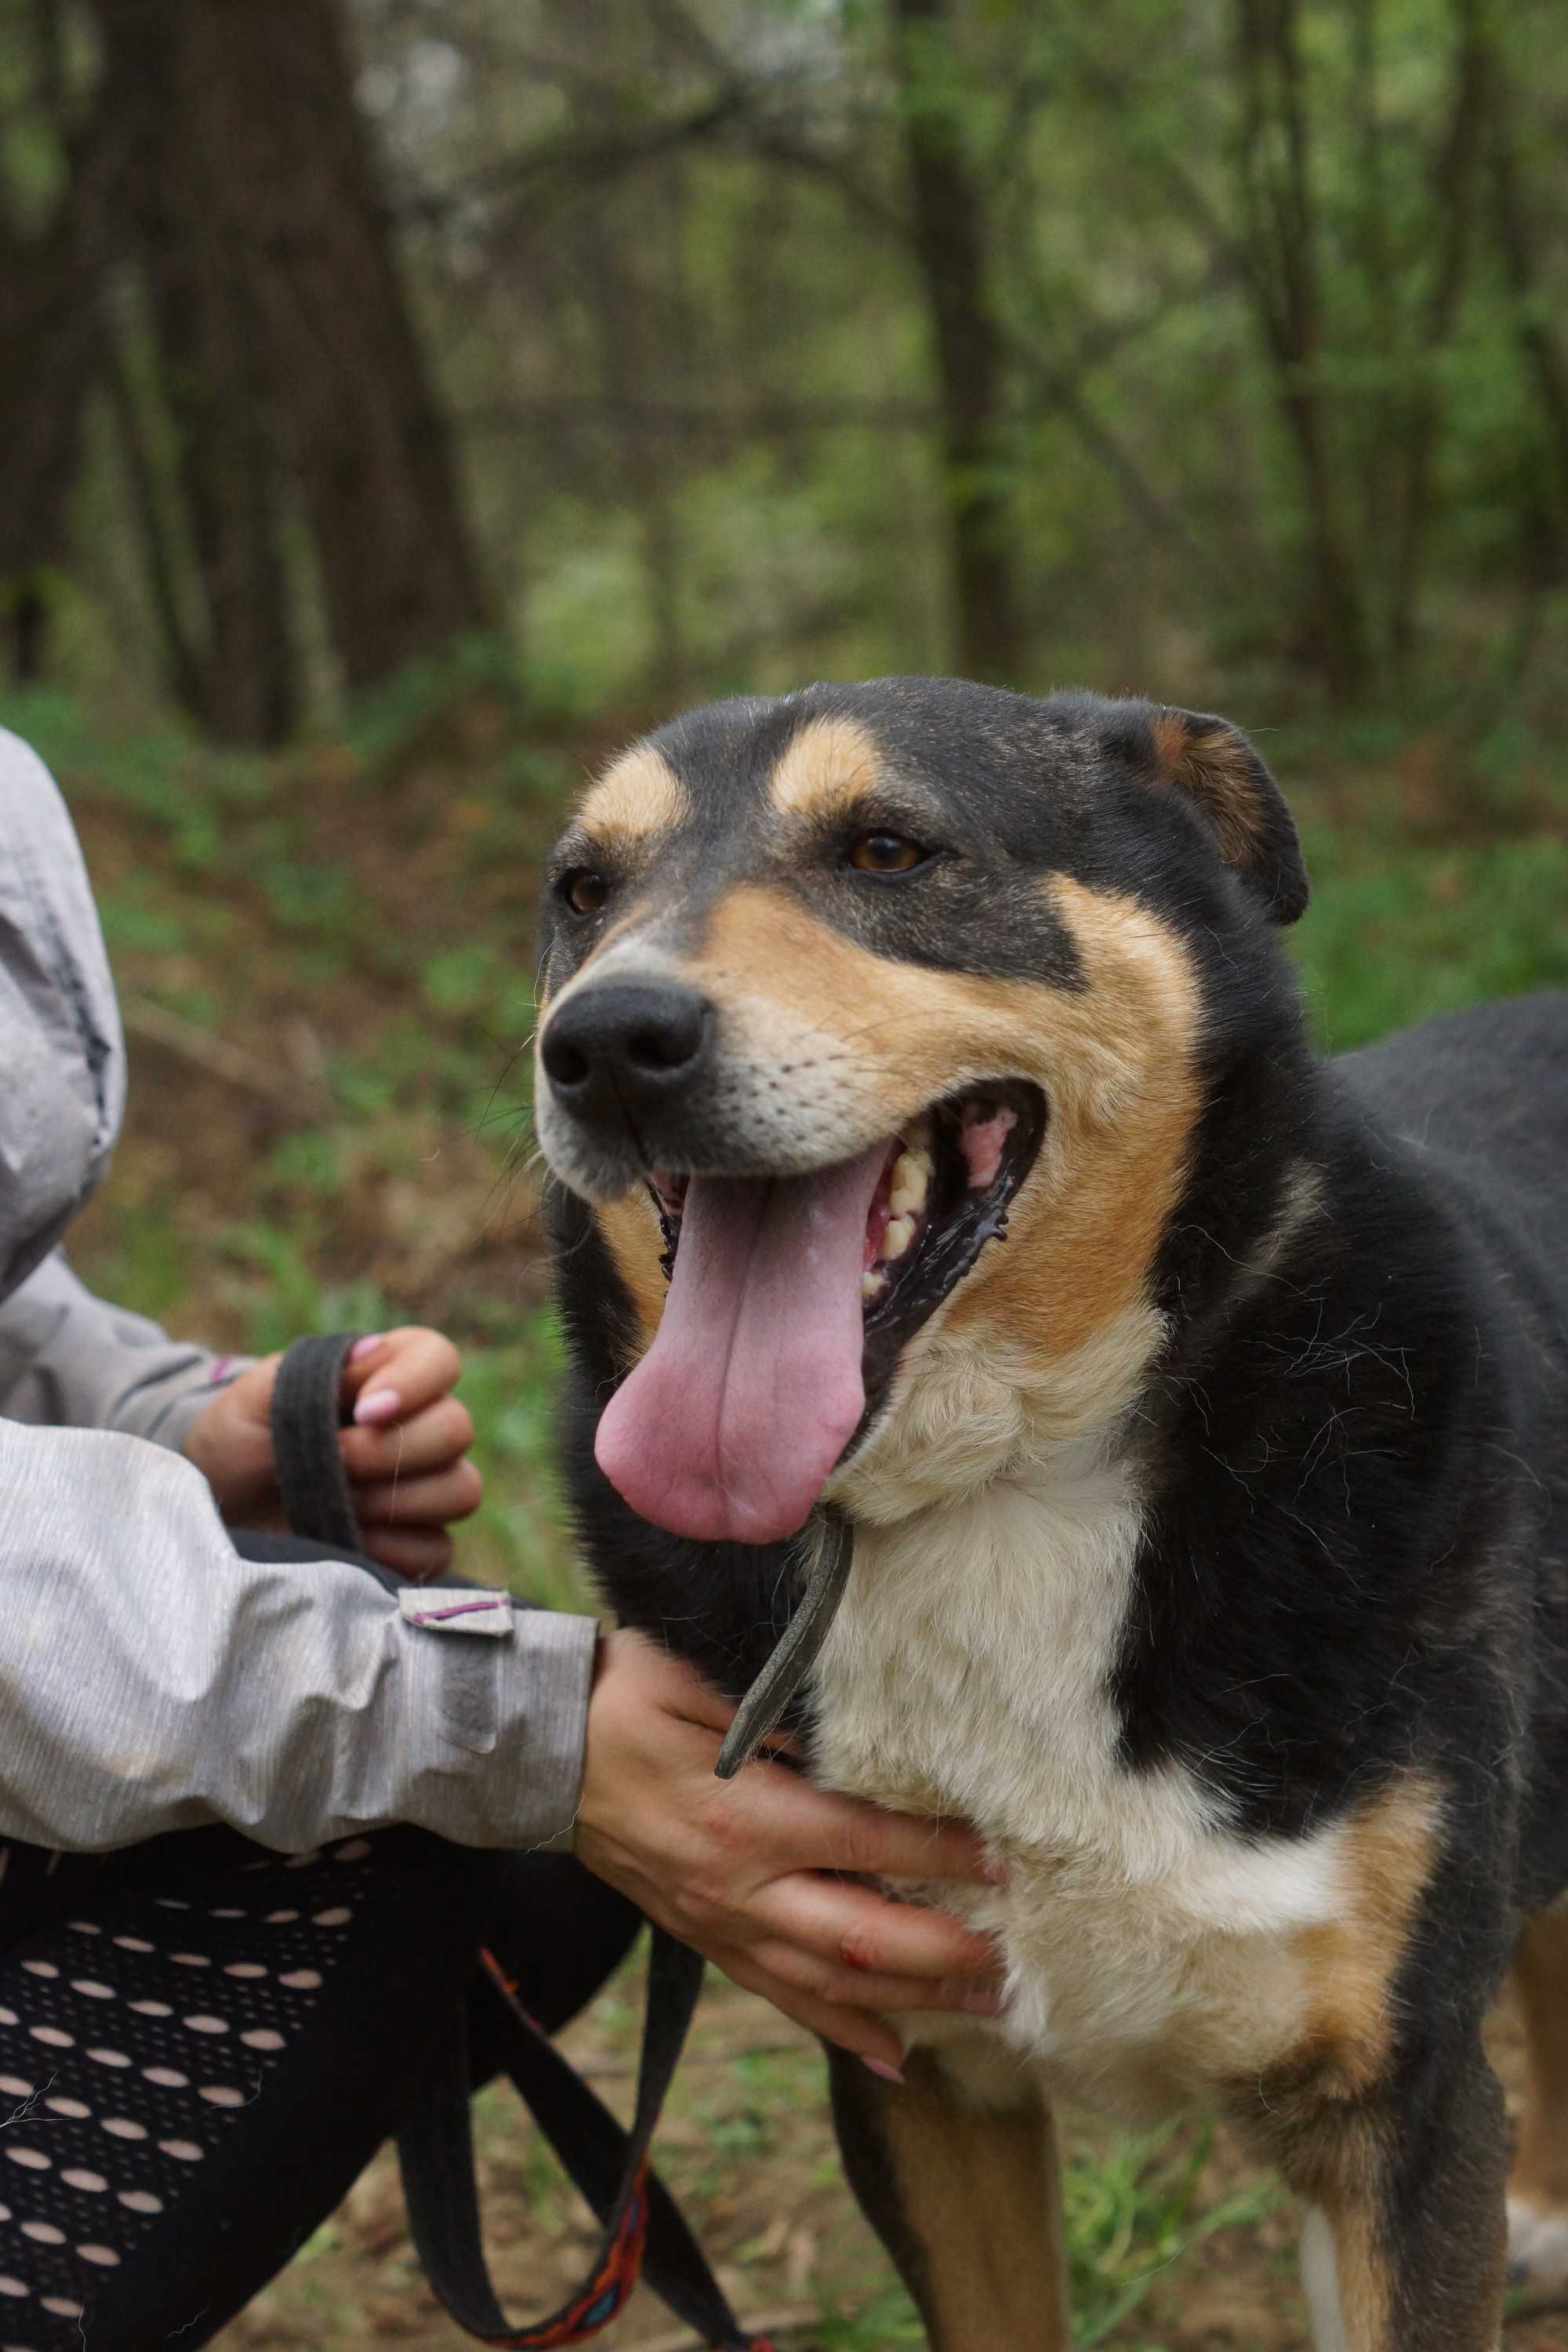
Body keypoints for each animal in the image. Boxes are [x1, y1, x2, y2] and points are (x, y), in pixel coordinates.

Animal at [533, 673, 1568, 2343]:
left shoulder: (1396, 2108)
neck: (1000, 1488)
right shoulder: (916, 2079)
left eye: (888, 849)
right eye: (583, 892)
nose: (607, 1044)